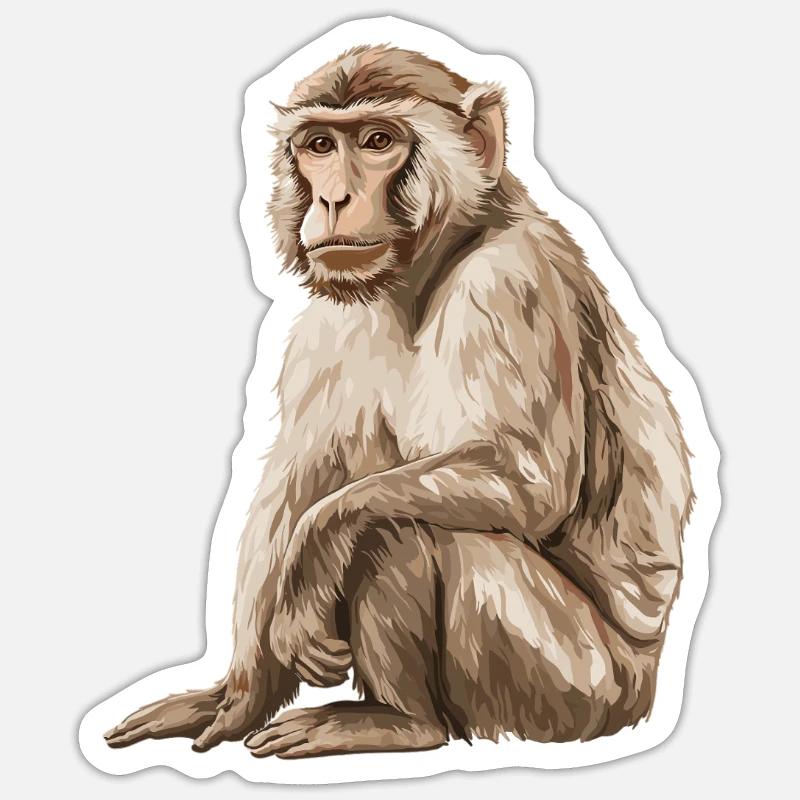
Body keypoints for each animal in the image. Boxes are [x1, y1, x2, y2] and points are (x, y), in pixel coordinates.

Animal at [104, 45, 694, 759]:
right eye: (320, 146)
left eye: (378, 142)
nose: (333, 197)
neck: (433, 263)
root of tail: (643, 688)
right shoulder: (329, 324)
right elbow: (295, 480)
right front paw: (238, 695)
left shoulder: (509, 281)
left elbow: (527, 486)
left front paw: (311, 561)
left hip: (573, 688)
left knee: (402, 521)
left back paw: (402, 721)